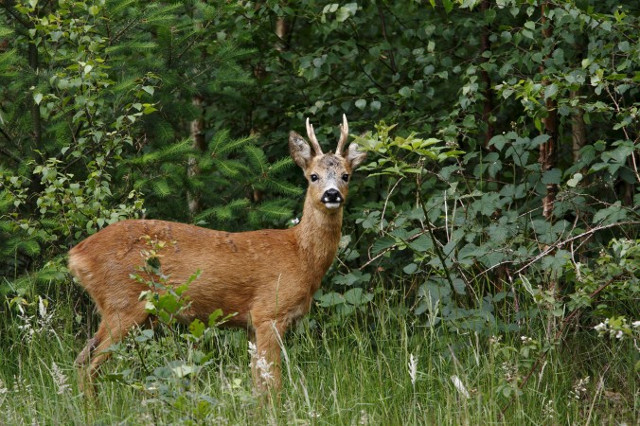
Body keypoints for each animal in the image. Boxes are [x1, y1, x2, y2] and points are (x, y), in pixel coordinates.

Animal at [68, 115, 368, 394]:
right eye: (313, 176)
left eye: (346, 175)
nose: (332, 194)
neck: (301, 255)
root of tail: (76, 255)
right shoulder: (268, 312)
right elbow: (273, 381)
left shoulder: (251, 325)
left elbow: (258, 383)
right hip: (123, 303)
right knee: (90, 365)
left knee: (81, 358)